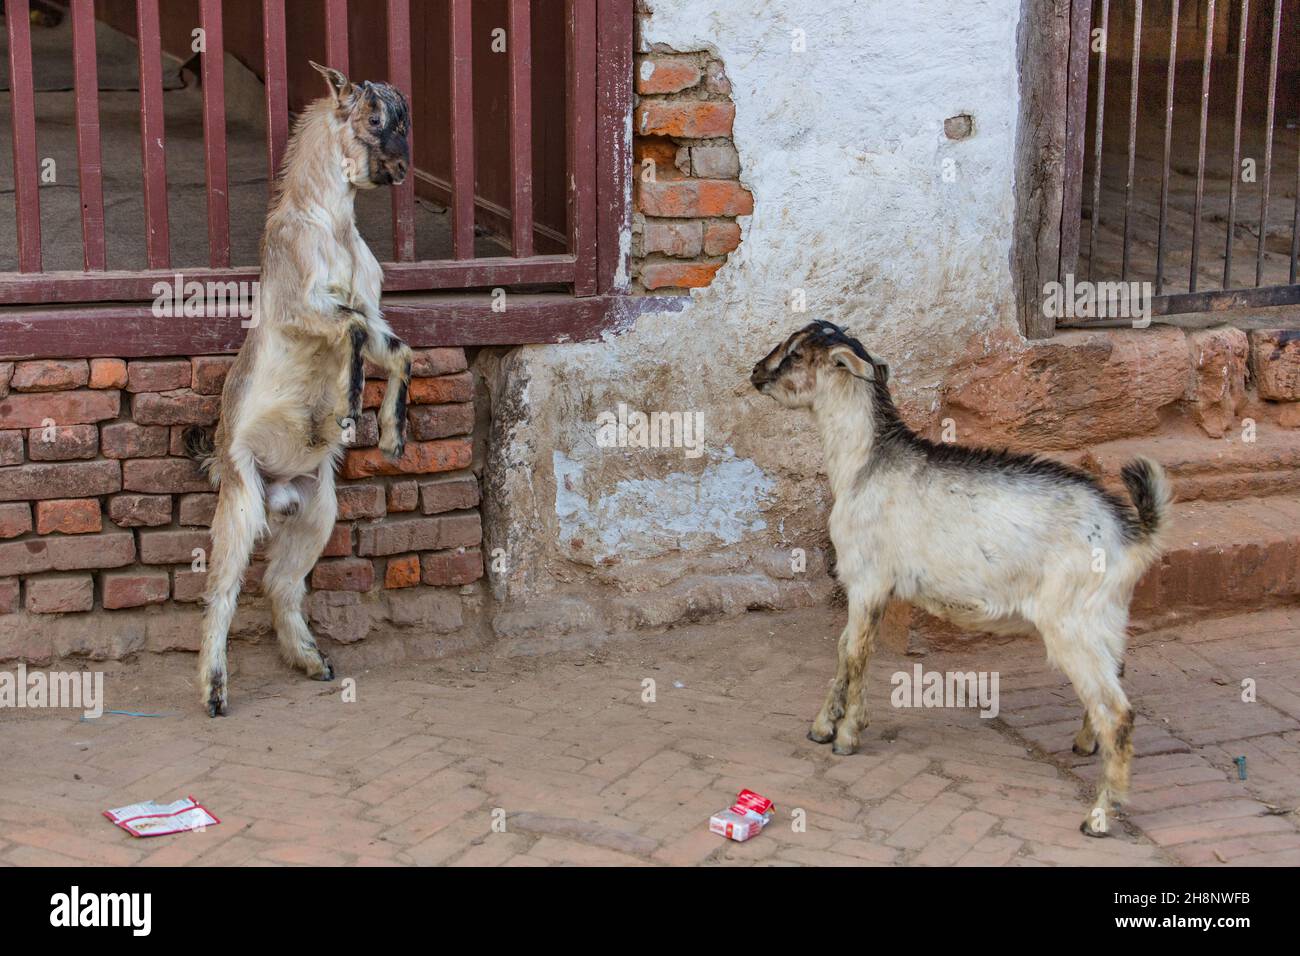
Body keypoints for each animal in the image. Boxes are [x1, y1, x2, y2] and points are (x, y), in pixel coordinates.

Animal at [183, 61, 413, 717]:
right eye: (373, 118)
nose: (402, 169)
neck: (328, 223)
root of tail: (276, 491)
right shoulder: (303, 310)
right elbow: (353, 332)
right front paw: (349, 402)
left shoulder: (371, 308)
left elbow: (398, 349)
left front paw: (391, 437)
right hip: (240, 501)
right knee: (224, 590)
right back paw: (214, 692)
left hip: (318, 509)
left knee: (279, 583)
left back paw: (311, 661)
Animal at [748, 321, 1175, 837]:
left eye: (794, 354)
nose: (755, 372)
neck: (863, 465)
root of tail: (1132, 533)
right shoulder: (863, 583)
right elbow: (843, 648)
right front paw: (822, 726)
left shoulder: (869, 579)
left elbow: (856, 653)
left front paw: (847, 736)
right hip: (1106, 617)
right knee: (1114, 681)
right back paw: (1084, 744)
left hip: (1072, 622)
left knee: (1118, 711)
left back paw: (1099, 815)